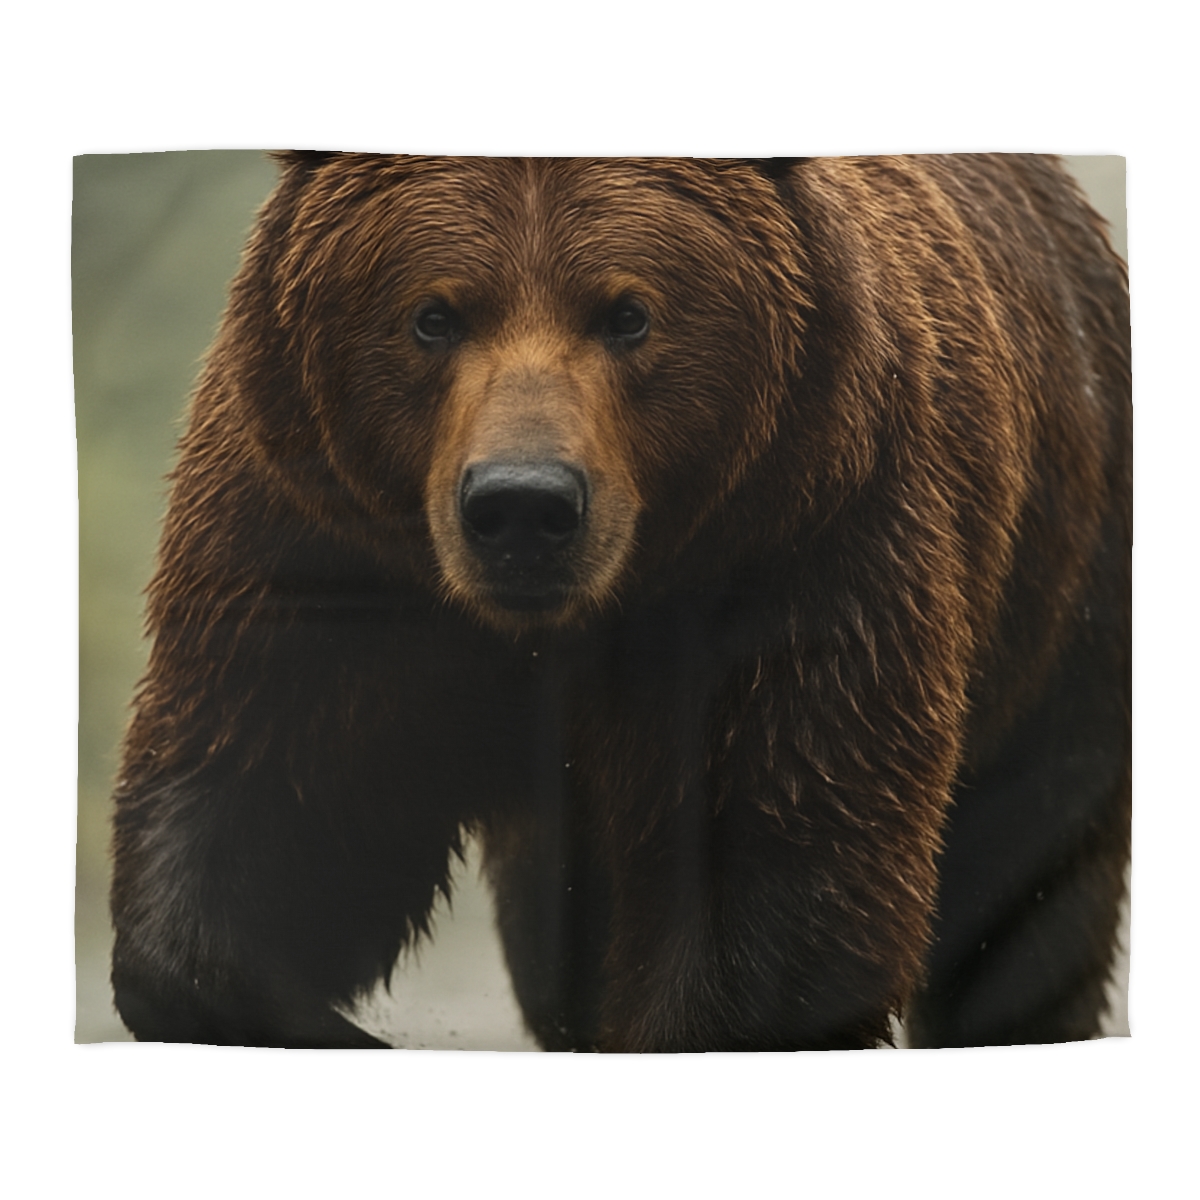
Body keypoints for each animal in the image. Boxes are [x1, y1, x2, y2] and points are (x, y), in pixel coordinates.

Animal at [110, 154, 1130, 1051]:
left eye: (628, 313)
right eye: (433, 315)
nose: (523, 506)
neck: (558, 627)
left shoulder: (803, 552)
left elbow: (776, 871)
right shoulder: (321, 547)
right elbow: (274, 797)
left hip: (1066, 586)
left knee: (1033, 883)